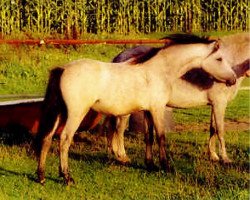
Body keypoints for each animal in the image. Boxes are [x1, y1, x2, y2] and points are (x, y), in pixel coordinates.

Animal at [35, 34, 236, 184]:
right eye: (219, 58)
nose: (233, 80)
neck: (159, 71)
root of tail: (63, 69)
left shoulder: (147, 111)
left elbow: (149, 137)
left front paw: (150, 165)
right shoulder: (157, 109)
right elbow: (161, 137)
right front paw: (166, 166)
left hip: (60, 113)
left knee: (47, 138)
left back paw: (42, 176)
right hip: (75, 114)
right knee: (64, 140)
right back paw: (66, 177)